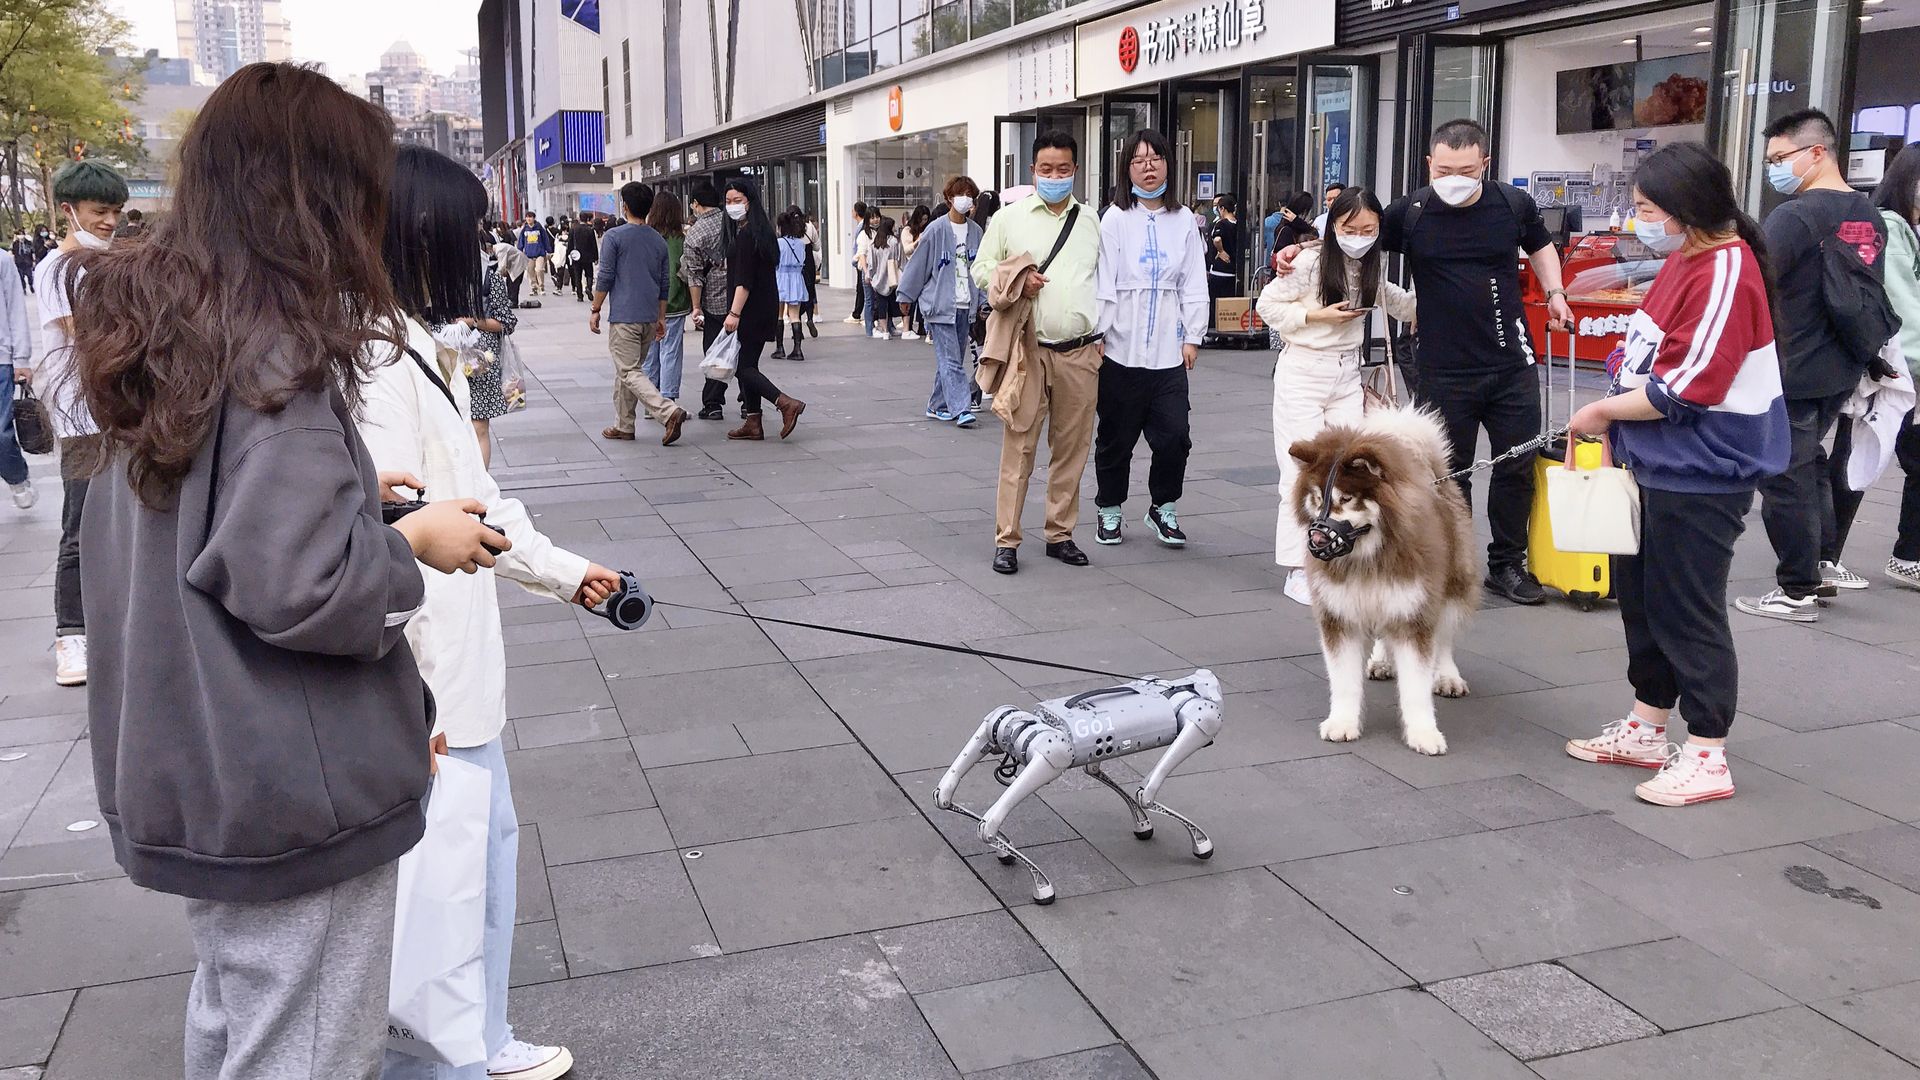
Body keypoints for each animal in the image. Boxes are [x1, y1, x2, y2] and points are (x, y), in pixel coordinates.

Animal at [936, 664, 1221, 899]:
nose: (1213, 688)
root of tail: (1019, 729)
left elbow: (1096, 771)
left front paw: (1143, 823)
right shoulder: (1200, 719)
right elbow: (1147, 793)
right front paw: (1200, 842)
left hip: (999, 723)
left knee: (944, 797)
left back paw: (1005, 849)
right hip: (1053, 752)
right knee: (988, 822)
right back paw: (1041, 884)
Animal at [1297, 405, 1474, 757]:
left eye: (1346, 498)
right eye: (1316, 498)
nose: (1318, 539)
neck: (1367, 558)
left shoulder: (1413, 613)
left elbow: (1416, 687)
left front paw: (1424, 733)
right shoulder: (1340, 616)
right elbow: (1344, 682)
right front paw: (1342, 722)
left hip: (1451, 585)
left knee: (1444, 637)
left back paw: (1447, 675)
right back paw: (1380, 661)